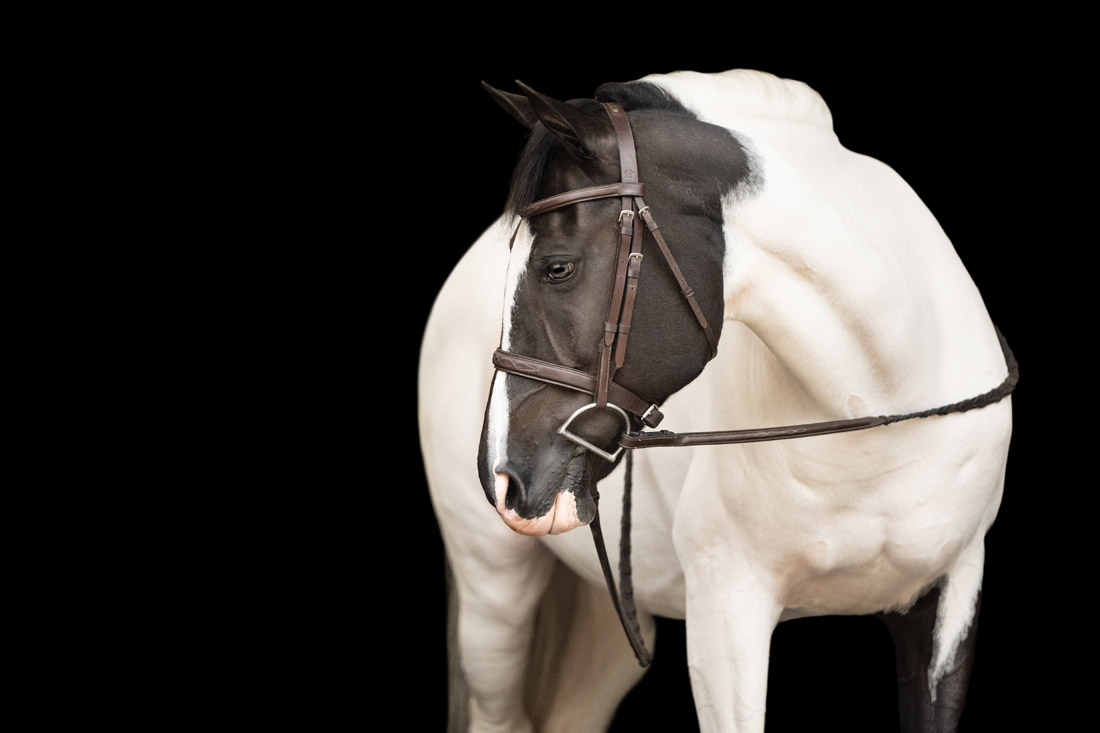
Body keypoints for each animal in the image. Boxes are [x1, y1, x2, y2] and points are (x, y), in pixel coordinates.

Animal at [418, 69, 1014, 732]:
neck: (880, 412)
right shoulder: (726, 615)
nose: (501, 478)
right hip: (493, 593)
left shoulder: (950, 601)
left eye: (557, 268)